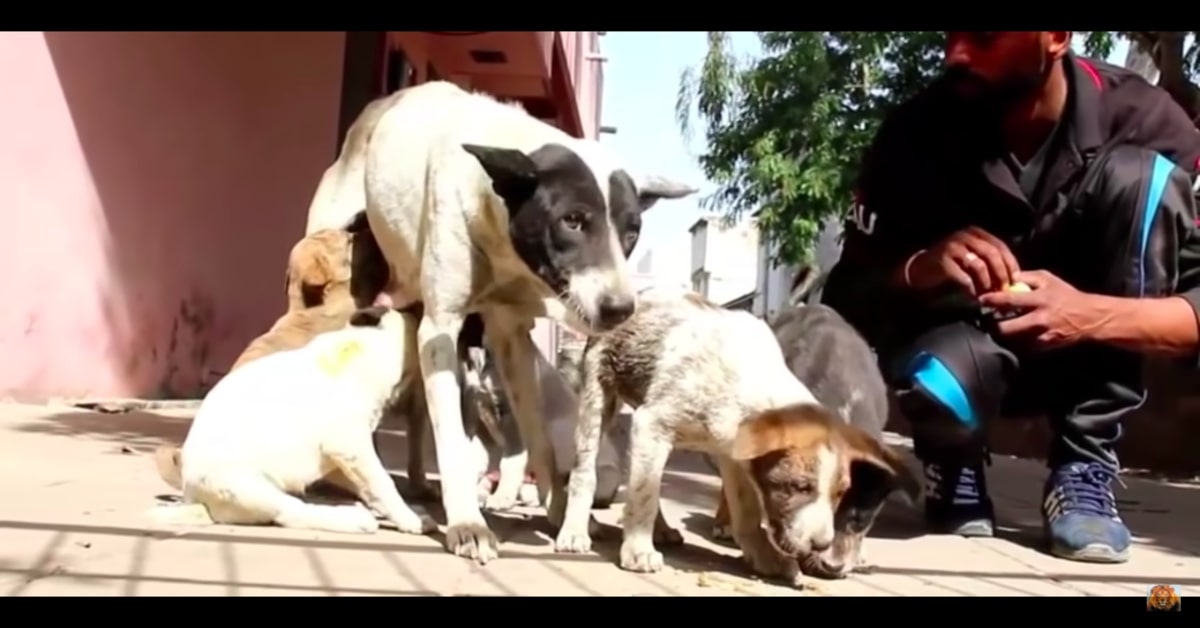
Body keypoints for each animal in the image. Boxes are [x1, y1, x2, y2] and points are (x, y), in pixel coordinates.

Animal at [302, 81, 696, 561]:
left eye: (632, 231)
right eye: (572, 220)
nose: (620, 309)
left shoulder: (513, 339)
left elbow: (538, 440)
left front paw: (559, 511)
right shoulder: (440, 331)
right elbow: (454, 442)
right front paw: (468, 524)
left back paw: (418, 483)